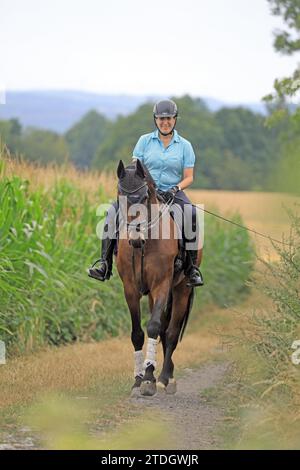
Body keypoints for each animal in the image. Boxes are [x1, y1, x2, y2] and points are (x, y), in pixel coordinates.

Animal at [115, 159, 202, 396]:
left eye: (145, 196)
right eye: (120, 195)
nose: (135, 238)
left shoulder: (162, 284)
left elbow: (154, 327)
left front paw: (148, 379)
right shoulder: (130, 289)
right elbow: (137, 333)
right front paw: (138, 379)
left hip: (181, 289)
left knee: (171, 332)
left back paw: (165, 378)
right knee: (164, 328)